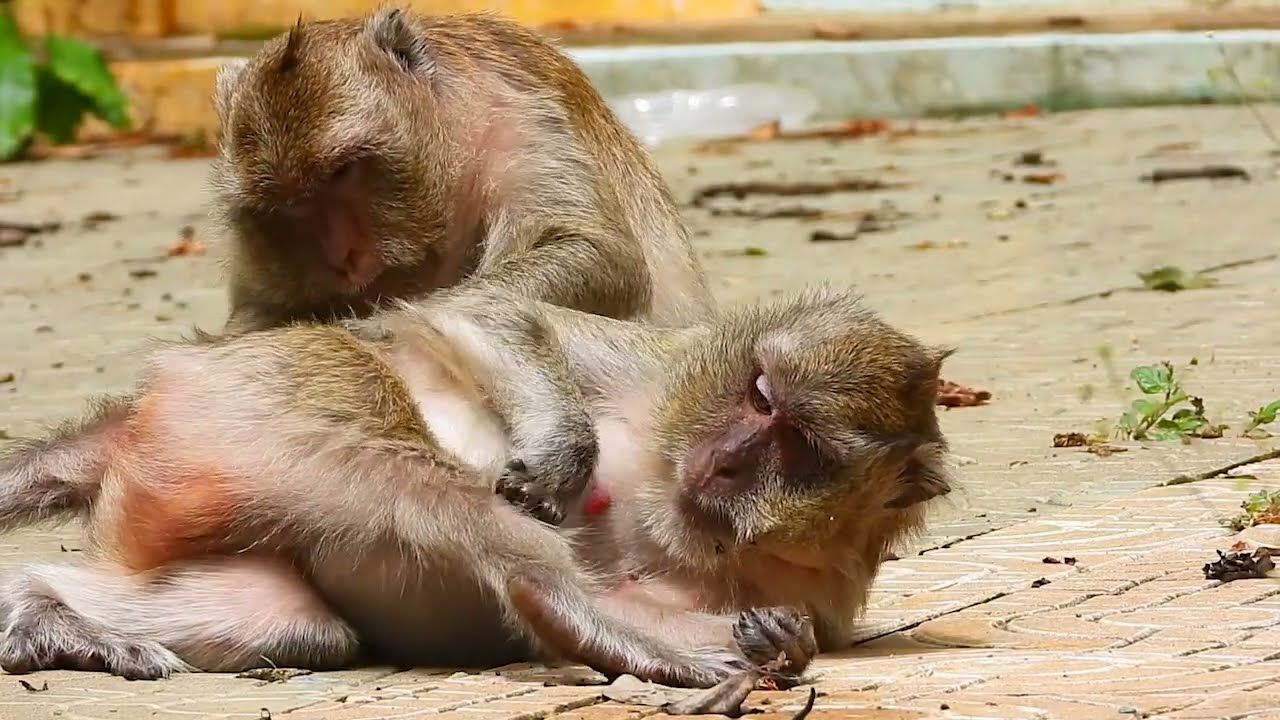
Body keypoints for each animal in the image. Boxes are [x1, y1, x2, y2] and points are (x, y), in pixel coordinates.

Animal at [0, 286, 951, 683]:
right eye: (758, 392)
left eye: (800, 446)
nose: (721, 460)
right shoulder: (656, 367)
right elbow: (488, 315)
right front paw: (563, 456)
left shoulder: (827, 587)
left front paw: (775, 633)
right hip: (266, 397)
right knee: (418, 489)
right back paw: (586, 618)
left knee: (295, 622)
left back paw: (43, 614)